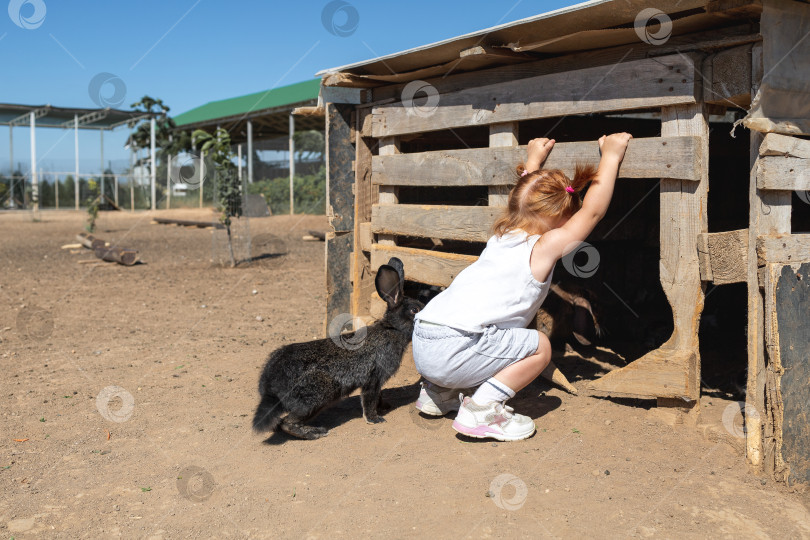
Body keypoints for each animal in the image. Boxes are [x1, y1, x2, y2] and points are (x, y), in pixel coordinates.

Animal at [251, 258, 422, 438]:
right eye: (414, 310)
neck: (392, 329)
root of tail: (270, 389)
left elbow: (378, 396)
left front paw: (384, 407)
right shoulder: (373, 378)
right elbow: (369, 399)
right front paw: (374, 419)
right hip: (320, 393)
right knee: (287, 423)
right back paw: (315, 433)